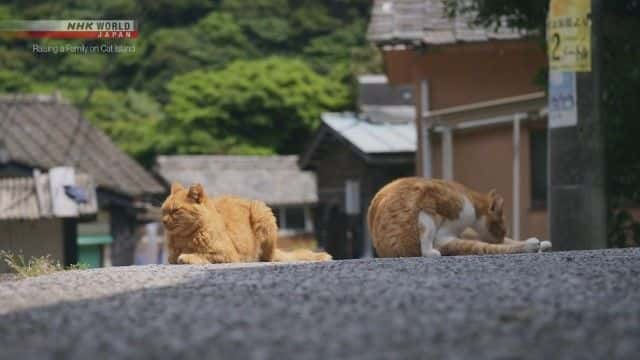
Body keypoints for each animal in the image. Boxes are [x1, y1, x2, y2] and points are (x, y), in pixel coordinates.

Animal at [162, 183, 332, 264]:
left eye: (175, 211)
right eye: (163, 210)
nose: (163, 221)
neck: (184, 239)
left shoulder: (227, 254)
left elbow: (201, 254)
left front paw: (187, 257)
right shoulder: (170, 257)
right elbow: (173, 258)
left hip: (260, 210)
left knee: (267, 258)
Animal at [368, 176, 552, 256]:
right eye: (503, 229)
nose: (501, 237)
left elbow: (495, 245)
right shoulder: (430, 207)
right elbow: (487, 247)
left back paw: (544, 243)